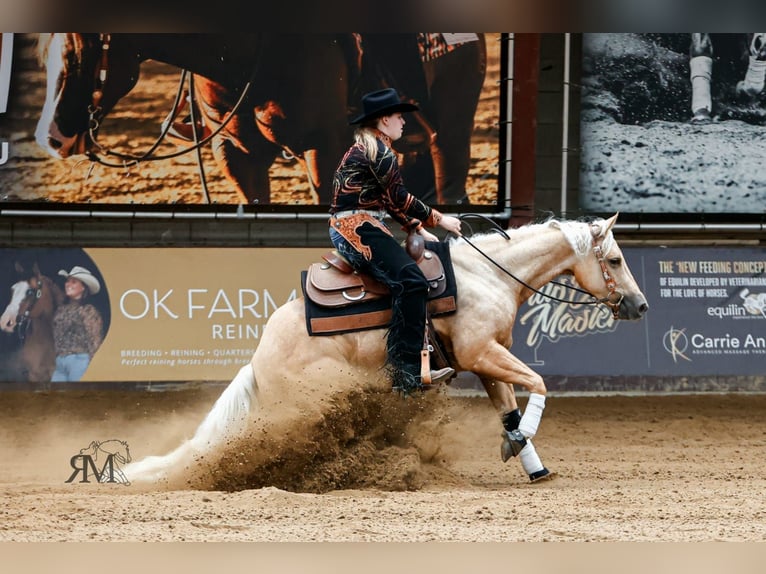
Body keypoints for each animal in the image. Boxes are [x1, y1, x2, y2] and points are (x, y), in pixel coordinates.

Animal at [124, 214, 648, 492]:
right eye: (616, 259)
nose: (640, 306)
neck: (488, 275)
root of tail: (257, 359)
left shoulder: (486, 359)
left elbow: (509, 410)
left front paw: (529, 459)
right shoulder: (481, 353)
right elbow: (537, 385)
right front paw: (522, 443)